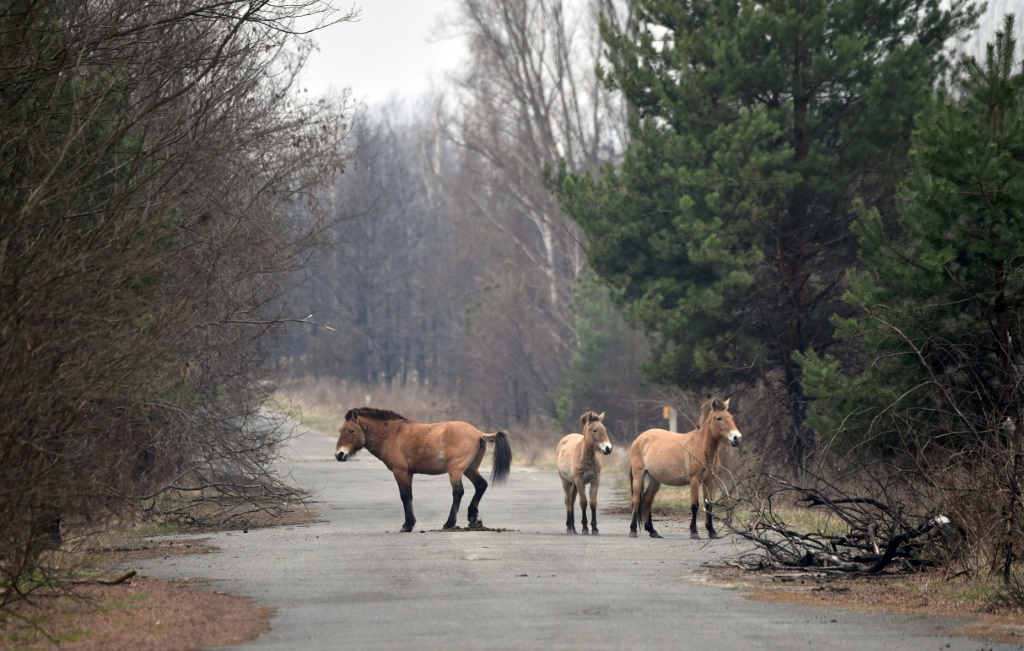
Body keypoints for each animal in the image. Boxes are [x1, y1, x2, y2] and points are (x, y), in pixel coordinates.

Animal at [333, 407, 512, 532]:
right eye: (340, 431)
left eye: (351, 431)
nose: (339, 454)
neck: (392, 433)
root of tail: (478, 433)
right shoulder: (409, 473)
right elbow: (410, 496)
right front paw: (410, 523)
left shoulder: (400, 471)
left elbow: (405, 496)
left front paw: (407, 525)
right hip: (470, 469)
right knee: (481, 485)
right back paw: (473, 518)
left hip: (456, 470)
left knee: (458, 492)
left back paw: (449, 523)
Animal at [626, 397, 741, 540]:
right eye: (719, 418)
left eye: (731, 417)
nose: (737, 438)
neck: (701, 446)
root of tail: (639, 439)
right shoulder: (695, 480)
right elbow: (695, 506)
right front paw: (694, 532)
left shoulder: (710, 480)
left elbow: (708, 505)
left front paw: (712, 531)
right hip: (639, 476)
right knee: (636, 501)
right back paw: (633, 530)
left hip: (655, 479)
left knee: (647, 500)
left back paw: (652, 531)